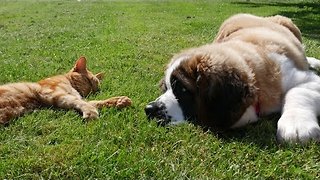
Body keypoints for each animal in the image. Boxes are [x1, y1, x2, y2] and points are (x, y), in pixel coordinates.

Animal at [0, 56, 132, 124]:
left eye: (97, 88)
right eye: (89, 81)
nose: (92, 92)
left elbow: (96, 102)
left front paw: (120, 101)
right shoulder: (53, 93)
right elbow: (84, 103)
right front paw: (91, 113)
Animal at [144, 13, 320, 143]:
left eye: (182, 89)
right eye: (166, 88)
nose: (149, 109)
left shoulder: (304, 78)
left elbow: (297, 92)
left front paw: (297, 125)